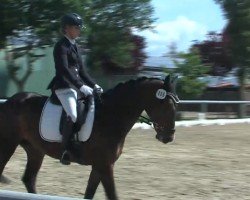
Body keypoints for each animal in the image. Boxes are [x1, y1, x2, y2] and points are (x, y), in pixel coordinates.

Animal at [0, 75, 180, 200]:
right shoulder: (106, 166)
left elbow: (89, 193)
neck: (110, 115)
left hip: (35, 150)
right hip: (8, 145)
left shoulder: (99, 166)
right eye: (166, 104)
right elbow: (112, 195)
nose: (169, 136)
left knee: (29, 179)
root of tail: (8, 102)